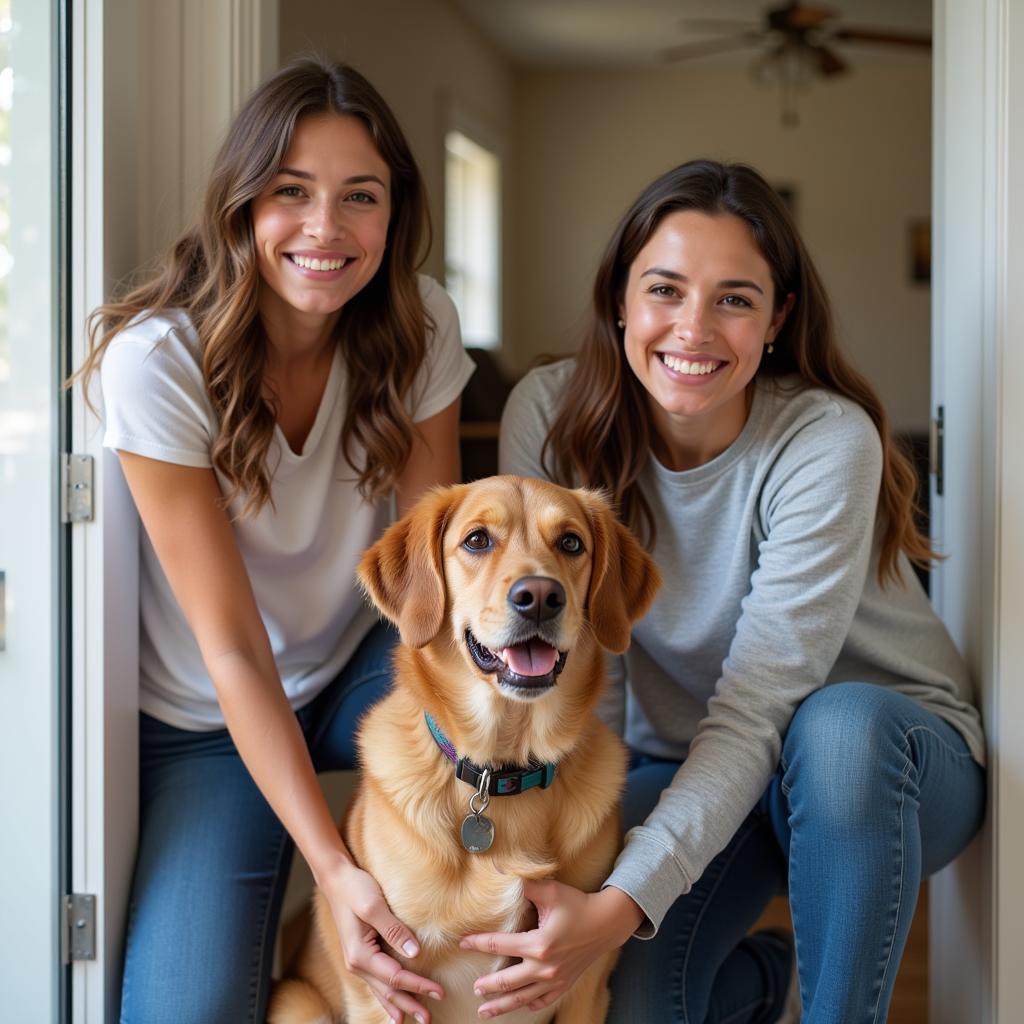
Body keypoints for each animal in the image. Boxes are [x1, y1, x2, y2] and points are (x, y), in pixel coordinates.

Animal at [268, 475, 659, 1019]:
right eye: (477, 540)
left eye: (571, 543)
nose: (540, 596)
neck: (502, 771)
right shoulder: (384, 988)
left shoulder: (585, 981)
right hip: (298, 1003)